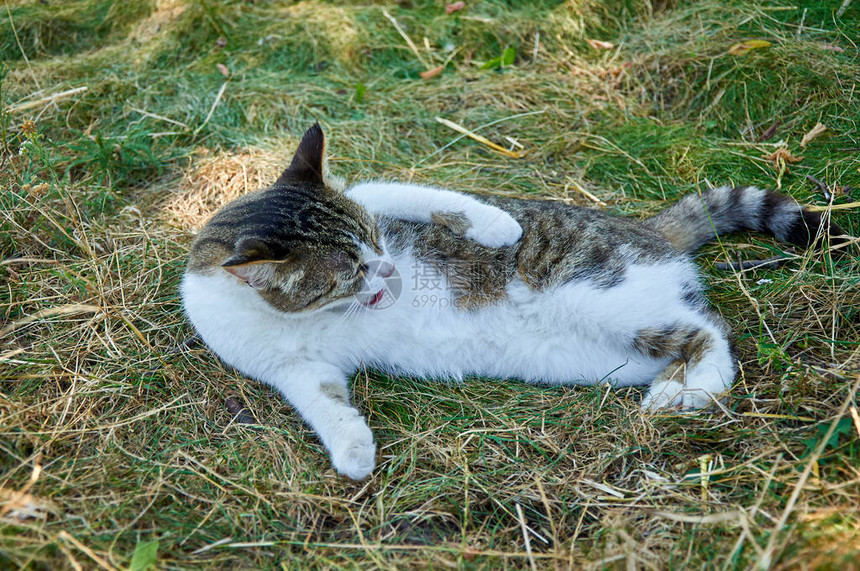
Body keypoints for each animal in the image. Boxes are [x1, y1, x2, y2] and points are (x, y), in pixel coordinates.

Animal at [183, 123, 848, 480]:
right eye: (348, 273)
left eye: (375, 239)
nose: (390, 268)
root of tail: (649, 229)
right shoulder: (290, 368)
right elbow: (323, 402)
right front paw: (352, 449)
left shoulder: (374, 192)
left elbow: (430, 196)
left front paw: (496, 226)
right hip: (609, 353)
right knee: (687, 333)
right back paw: (673, 390)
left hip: (603, 297)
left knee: (712, 329)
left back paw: (695, 389)